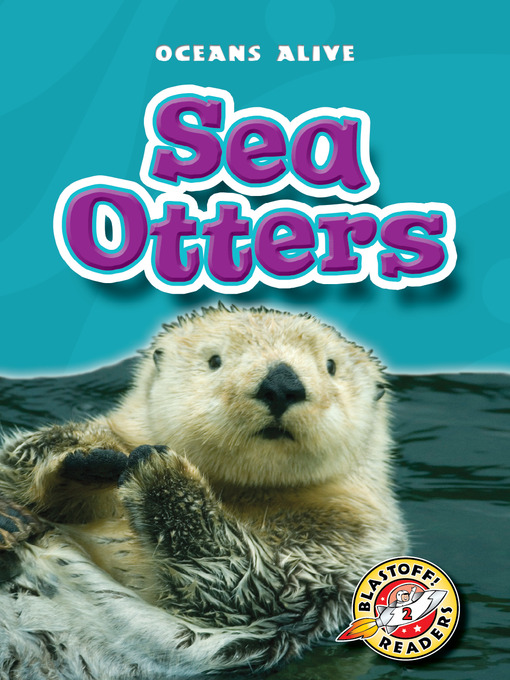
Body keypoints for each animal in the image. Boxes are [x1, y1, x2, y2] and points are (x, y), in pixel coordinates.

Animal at [0, 305, 407, 678]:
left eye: (331, 366)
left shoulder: (338, 550)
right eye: (214, 360)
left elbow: (247, 583)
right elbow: (12, 465)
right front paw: (84, 455)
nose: (281, 384)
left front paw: (163, 474)